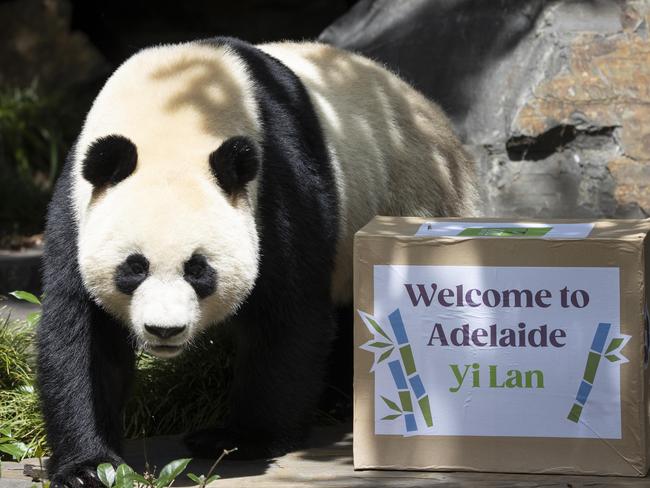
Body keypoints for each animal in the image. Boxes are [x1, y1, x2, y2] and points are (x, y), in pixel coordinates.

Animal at [39, 36, 476, 486]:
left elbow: (288, 314)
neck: (174, 104)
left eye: (198, 270)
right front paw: (87, 466)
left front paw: (239, 438)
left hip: (412, 196)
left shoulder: (277, 184)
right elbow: (82, 332)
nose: (165, 330)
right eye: (134, 267)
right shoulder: (77, 204)